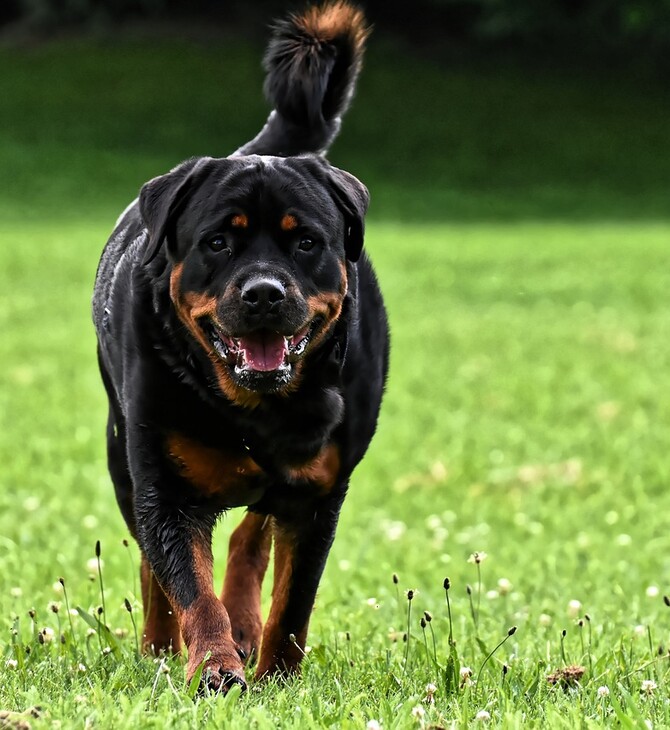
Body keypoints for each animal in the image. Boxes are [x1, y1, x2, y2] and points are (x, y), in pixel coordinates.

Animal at [92, 2, 392, 692]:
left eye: (306, 241)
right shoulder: (163, 486)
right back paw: (160, 647)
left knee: (250, 538)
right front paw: (214, 667)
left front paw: (276, 671)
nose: (262, 293)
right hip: (122, 453)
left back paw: (244, 624)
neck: (255, 409)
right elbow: (187, 584)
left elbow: (294, 599)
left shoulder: (320, 493)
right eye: (217, 242)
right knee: (154, 566)